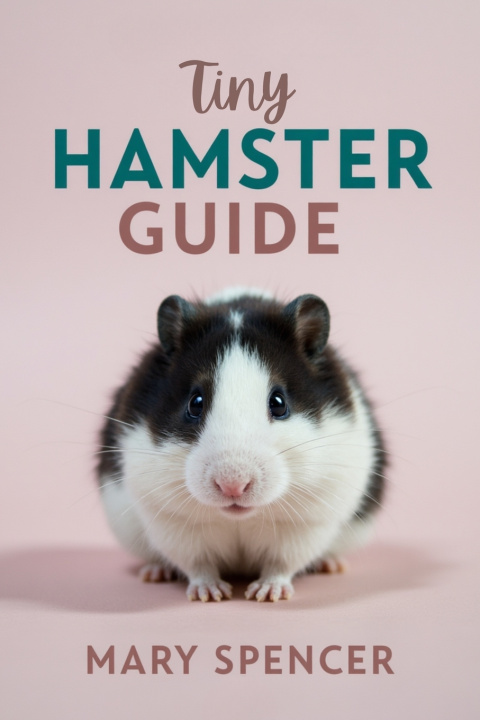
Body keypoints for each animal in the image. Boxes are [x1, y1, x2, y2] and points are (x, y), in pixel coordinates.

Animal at [97, 288, 385, 602]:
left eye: (279, 403)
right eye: (195, 403)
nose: (232, 486)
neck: (239, 519)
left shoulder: (306, 522)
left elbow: (281, 563)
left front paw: (268, 594)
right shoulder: (172, 520)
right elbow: (198, 564)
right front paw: (210, 594)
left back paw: (331, 565)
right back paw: (155, 572)